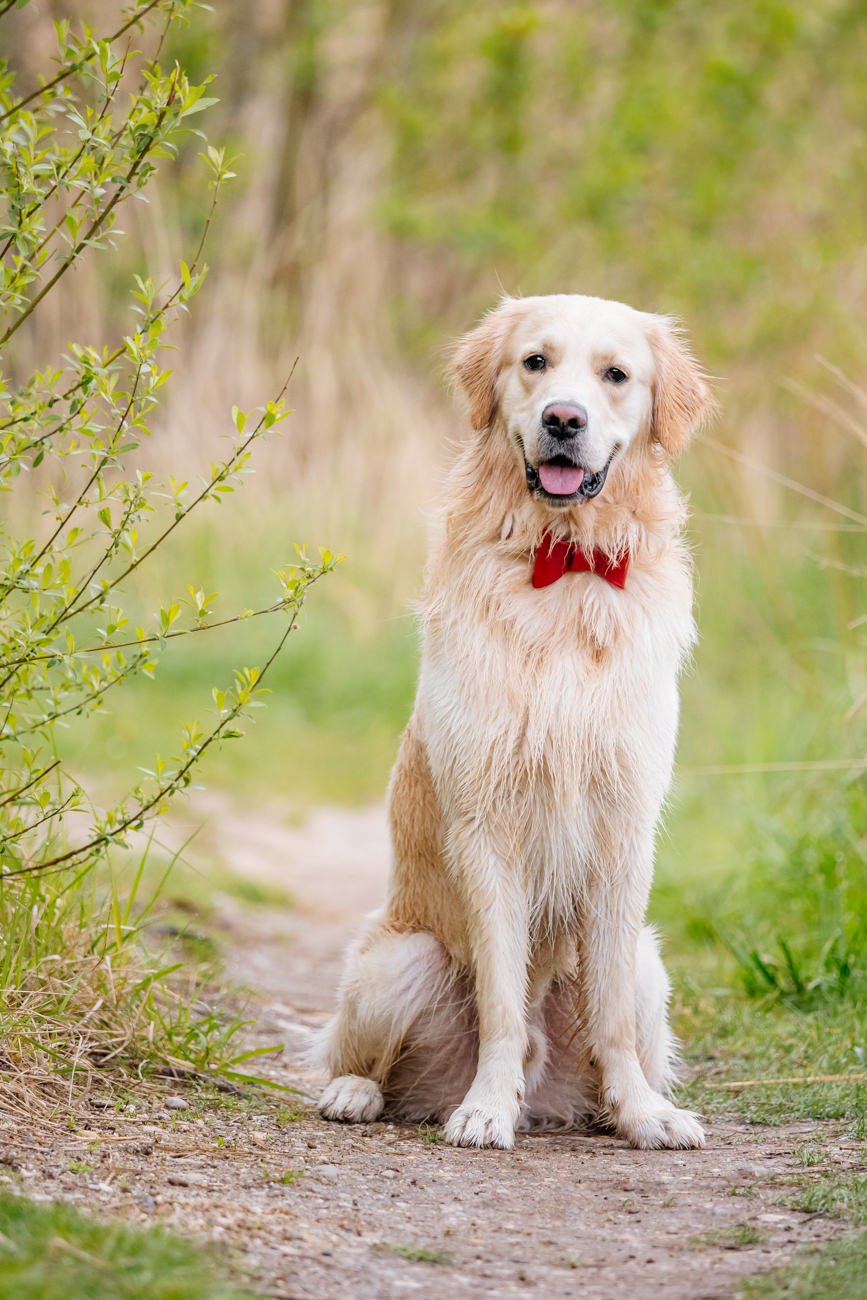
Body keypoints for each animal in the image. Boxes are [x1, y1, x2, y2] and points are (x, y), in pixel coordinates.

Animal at [315, 292, 717, 1149]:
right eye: (535, 362)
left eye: (615, 374)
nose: (564, 418)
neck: (562, 566)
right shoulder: (485, 819)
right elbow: (501, 996)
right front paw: (486, 1108)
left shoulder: (624, 823)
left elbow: (610, 1018)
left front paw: (643, 1115)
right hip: (397, 962)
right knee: (354, 1058)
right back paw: (357, 1094)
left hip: (649, 963)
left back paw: (608, 1106)